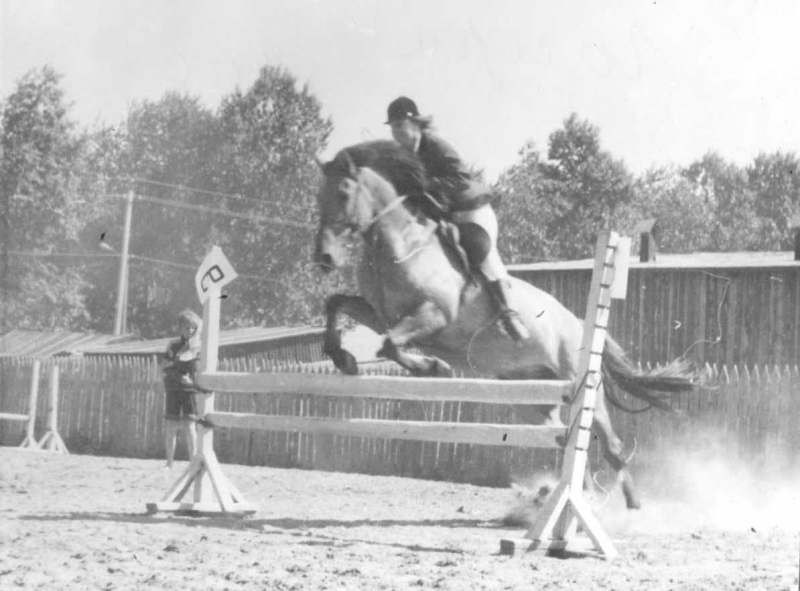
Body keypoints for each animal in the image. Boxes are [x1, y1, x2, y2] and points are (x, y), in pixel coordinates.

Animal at [316, 139, 696, 508]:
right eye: (319, 197)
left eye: (343, 194)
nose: (324, 258)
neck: (402, 246)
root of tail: (577, 323)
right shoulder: (381, 314)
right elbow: (338, 306)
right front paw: (344, 359)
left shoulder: (435, 313)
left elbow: (389, 344)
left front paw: (433, 367)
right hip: (530, 396)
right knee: (562, 437)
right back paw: (574, 495)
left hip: (582, 383)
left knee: (611, 445)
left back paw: (630, 508)